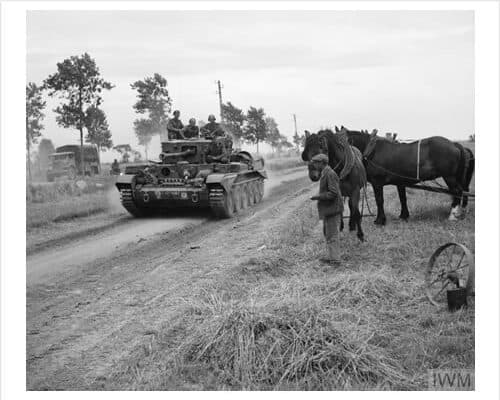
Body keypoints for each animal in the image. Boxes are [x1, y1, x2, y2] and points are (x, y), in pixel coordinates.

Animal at [336, 126, 472, 225]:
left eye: (339, 145)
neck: (372, 151)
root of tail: (454, 144)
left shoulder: (377, 183)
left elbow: (379, 200)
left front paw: (380, 220)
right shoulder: (400, 182)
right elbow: (403, 198)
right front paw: (403, 215)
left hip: (449, 176)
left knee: (457, 191)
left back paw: (453, 216)